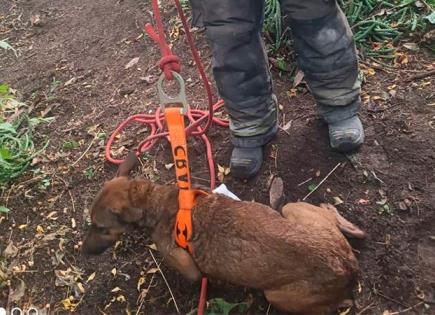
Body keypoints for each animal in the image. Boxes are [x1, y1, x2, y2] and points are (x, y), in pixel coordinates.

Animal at [82, 152, 364, 314]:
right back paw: (348, 223)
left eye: (102, 228)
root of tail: (346, 265)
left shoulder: (187, 266)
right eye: (91, 223)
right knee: (332, 218)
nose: (84, 251)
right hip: (294, 210)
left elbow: (195, 274)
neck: (156, 201)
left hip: (276, 295)